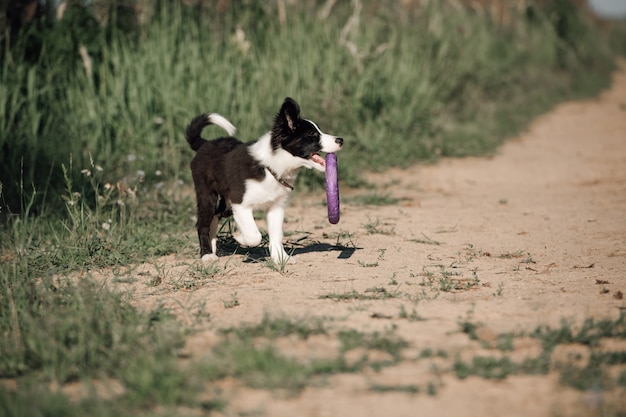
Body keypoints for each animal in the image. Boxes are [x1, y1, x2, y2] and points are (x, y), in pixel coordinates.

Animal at [185, 96, 342, 264]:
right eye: (312, 134)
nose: (341, 140)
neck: (271, 167)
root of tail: (204, 143)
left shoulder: (276, 207)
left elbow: (276, 235)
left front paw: (281, 259)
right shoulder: (240, 204)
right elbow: (255, 236)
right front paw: (239, 237)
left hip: (226, 202)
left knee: (215, 216)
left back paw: (212, 249)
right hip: (207, 194)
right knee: (203, 224)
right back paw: (206, 255)